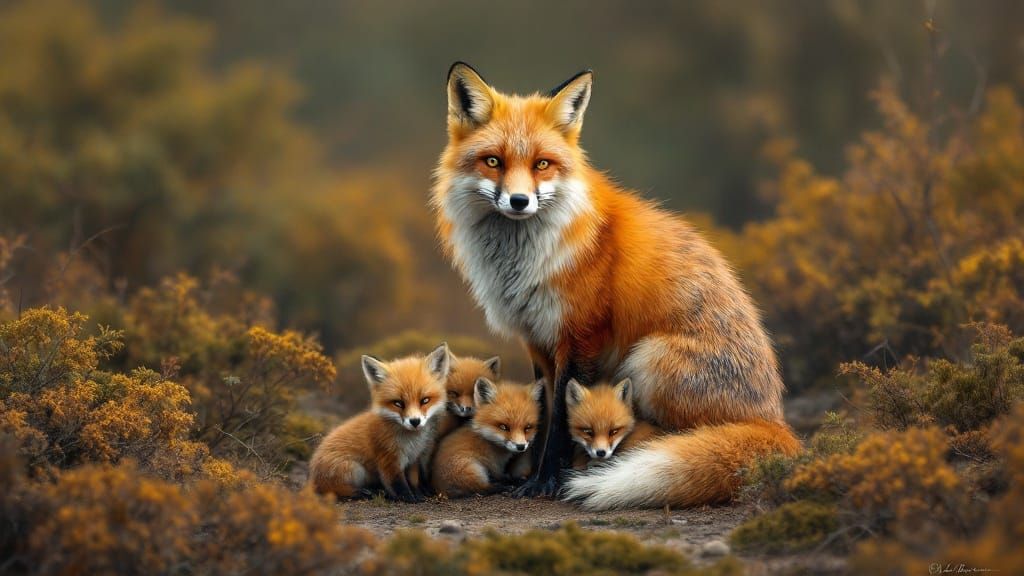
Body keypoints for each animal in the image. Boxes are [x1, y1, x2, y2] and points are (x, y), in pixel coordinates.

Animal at [308, 343, 450, 502]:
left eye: (425, 400)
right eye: (398, 403)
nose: (414, 421)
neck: (411, 441)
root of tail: (312, 475)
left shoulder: (414, 459)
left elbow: (414, 481)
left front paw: (419, 494)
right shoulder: (388, 459)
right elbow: (398, 485)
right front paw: (409, 498)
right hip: (354, 468)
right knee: (333, 490)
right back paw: (364, 492)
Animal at [431, 62, 802, 506]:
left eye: (542, 164)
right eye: (493, 161)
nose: (519, 201)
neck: (523, 260)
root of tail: (775, 420)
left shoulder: (581, 335)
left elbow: (562, 419)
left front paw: (547, 481)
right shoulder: (537, 337)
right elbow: (542, 410)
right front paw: (530, 473)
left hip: (648, 359)